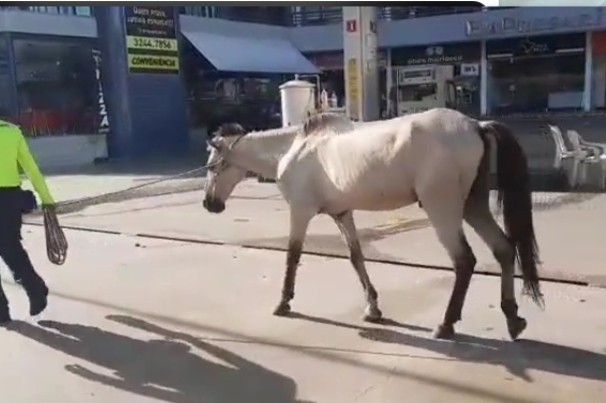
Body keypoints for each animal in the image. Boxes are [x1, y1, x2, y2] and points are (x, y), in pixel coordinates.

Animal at [205, 109, 548, 342]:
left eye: (212, 166)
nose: (210, 204)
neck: (295, 147)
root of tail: (477, 125)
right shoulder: (342, 214)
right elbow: (356, 258)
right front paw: (373, 309)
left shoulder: (300, 212)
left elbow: (293, 256)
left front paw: (283, 302)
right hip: (473, 207)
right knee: (504, 249)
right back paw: (512, 318)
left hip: (443, 210)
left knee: (464, 260)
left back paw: (447, 324)